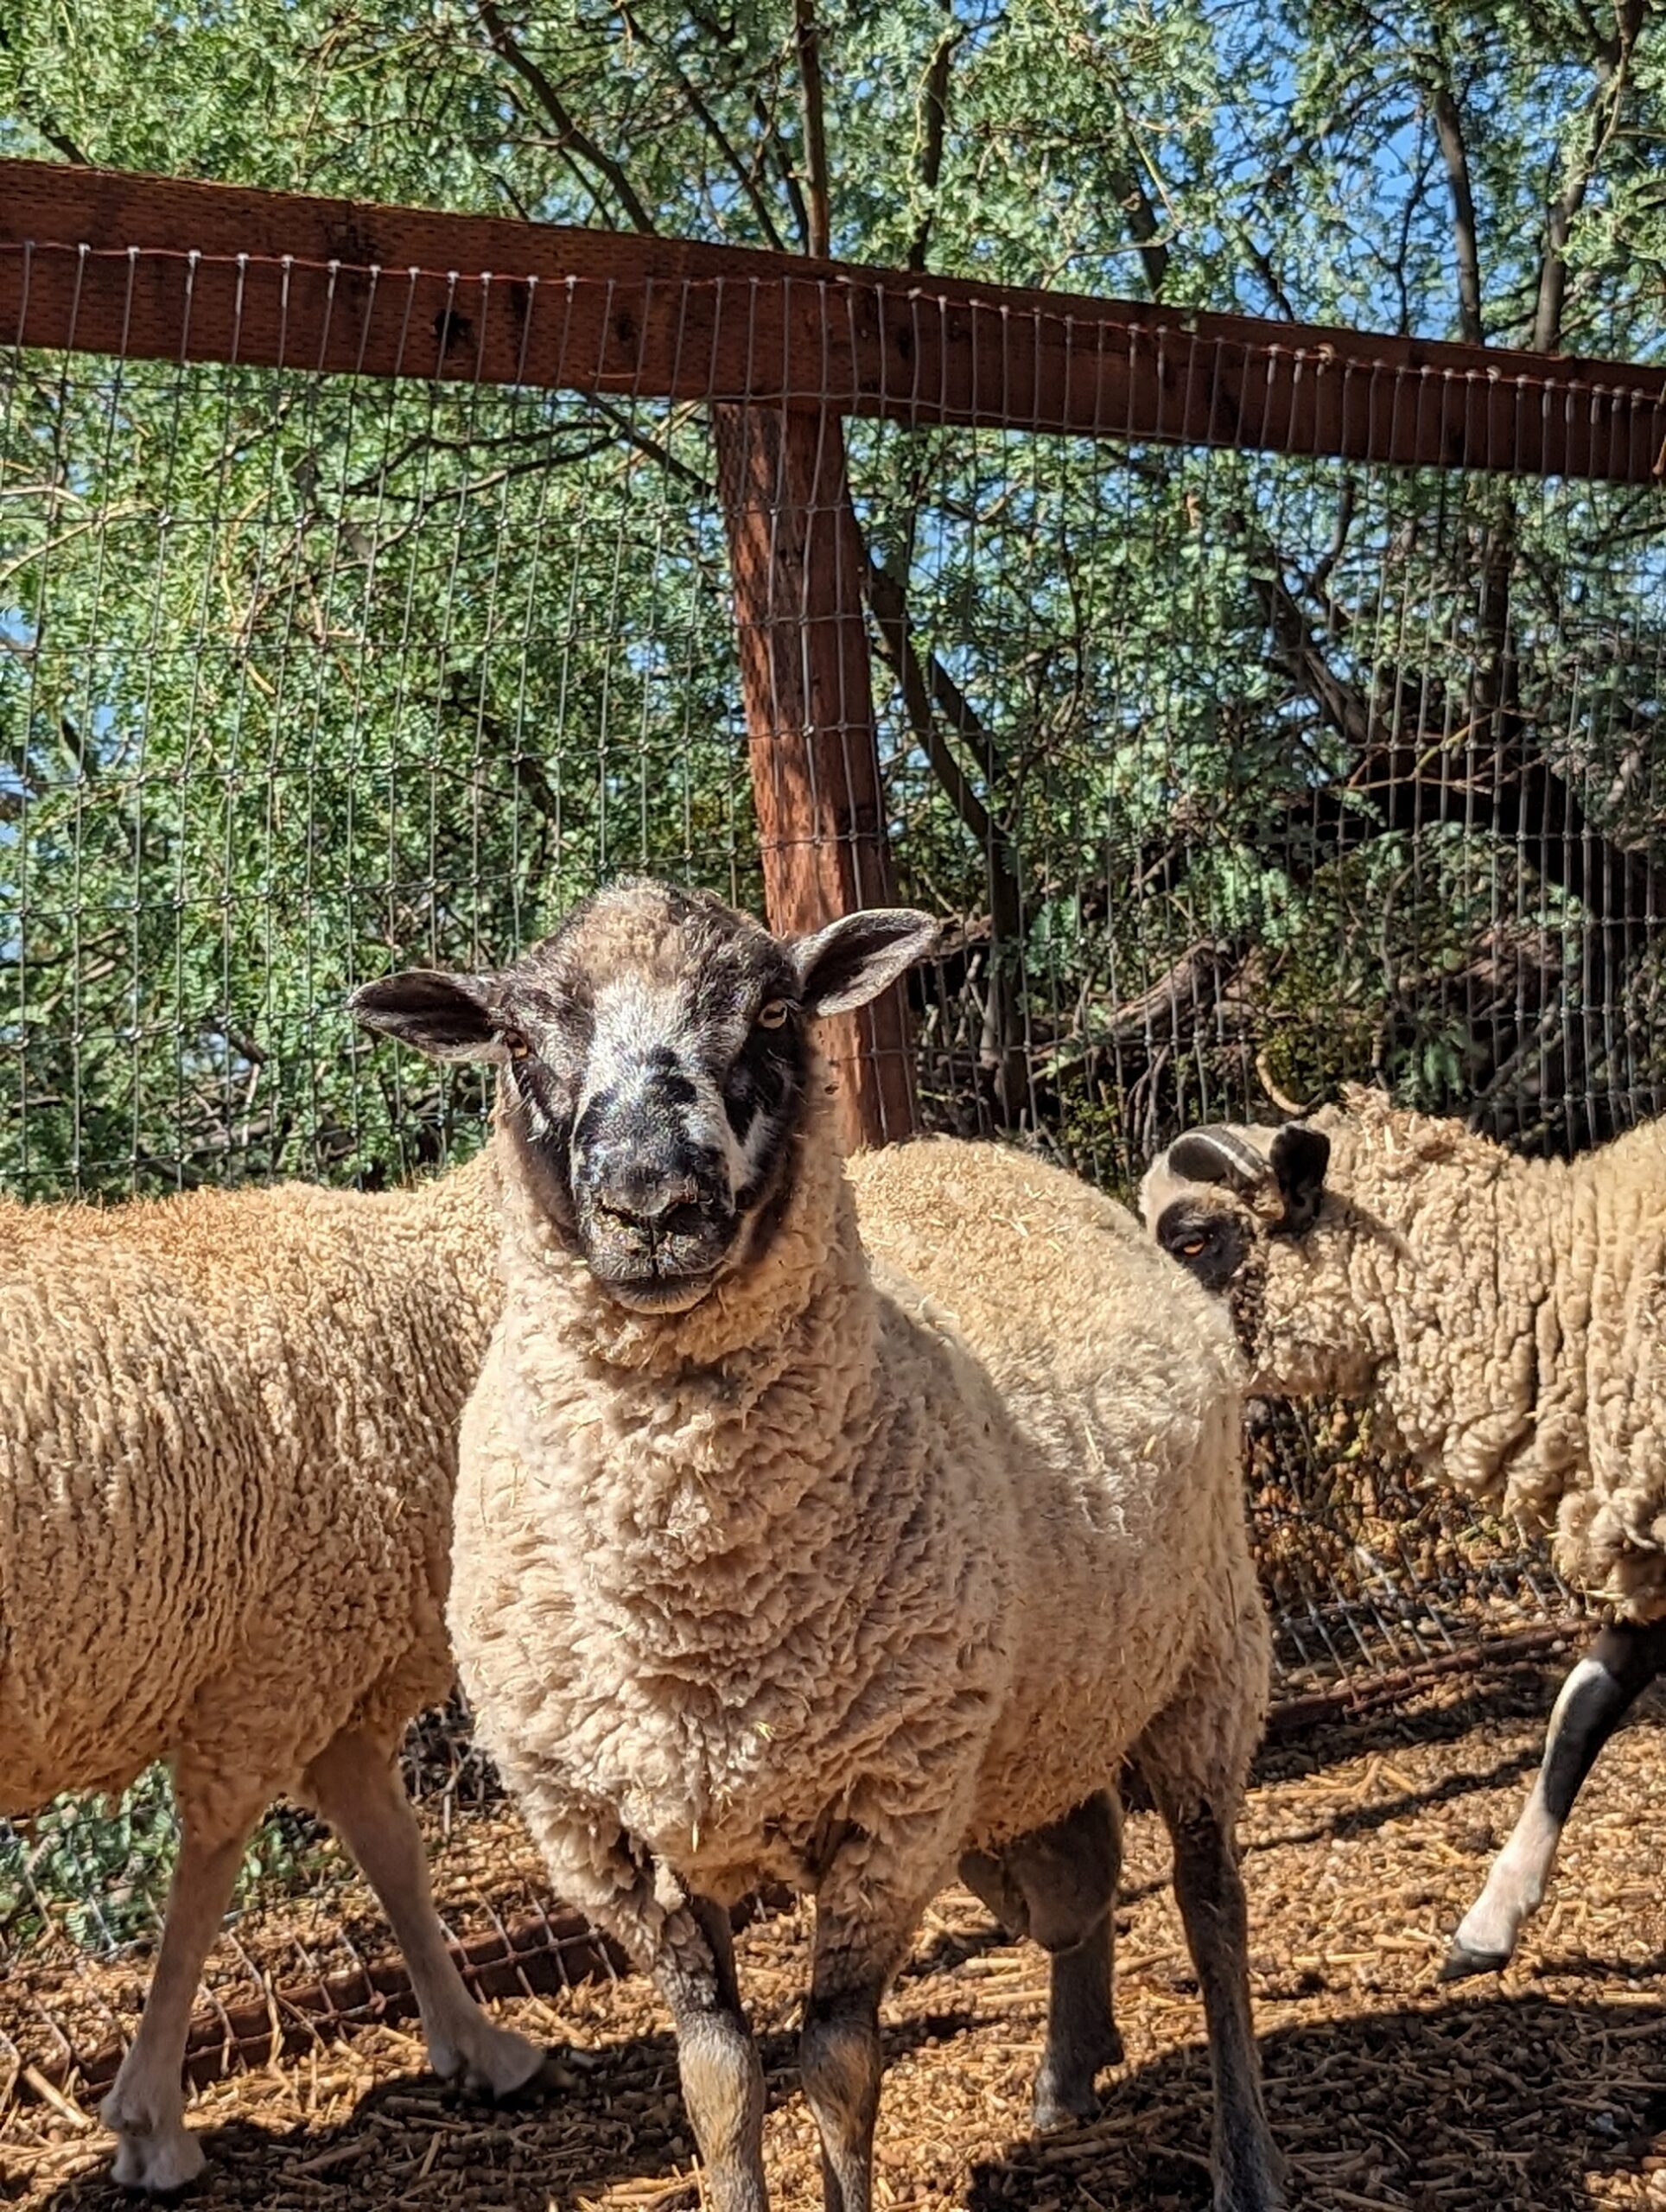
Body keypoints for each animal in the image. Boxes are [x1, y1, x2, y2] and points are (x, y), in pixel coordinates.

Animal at [0, 1154, 550, 2191]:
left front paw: (478, 2045)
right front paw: (151, 2124)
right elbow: (208, 1879)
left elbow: (393, 1855)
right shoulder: (279, 1661)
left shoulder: (331, 1668)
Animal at [349, 877, 1285, 2212]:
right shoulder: (610, 1834)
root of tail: (996, 1157)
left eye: (774, 1010)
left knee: (1213, 1914)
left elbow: (837, 2063)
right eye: (519, 1042)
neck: (697, 1612)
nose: (650, 1204)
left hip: (1203, 1666)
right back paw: (1066, 2074)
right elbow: (719, 2078)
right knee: (1080, 1880)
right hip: (1038, 1733)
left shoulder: (894, 1806)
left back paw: (1243, 2161)